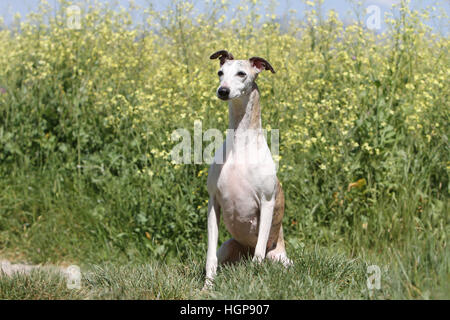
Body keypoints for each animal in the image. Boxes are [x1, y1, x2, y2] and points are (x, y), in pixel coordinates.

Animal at [204, 50, 292, 290]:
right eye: (220, 72)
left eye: (242, 73)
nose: (223, 91)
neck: (240, 145)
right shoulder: (214, 202)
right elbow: (210, 257)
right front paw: (206, 288)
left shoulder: (267, 201)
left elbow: (259, 255)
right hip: (229, 245)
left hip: (281, 259)